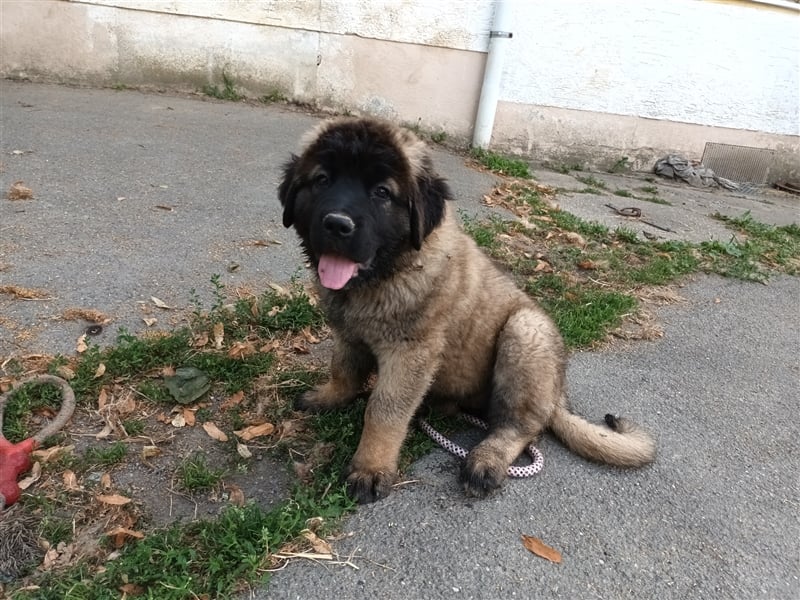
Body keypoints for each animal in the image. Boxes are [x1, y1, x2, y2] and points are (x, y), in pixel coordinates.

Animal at [278, 117, 652, 502]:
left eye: (382, 192)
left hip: (525, 332)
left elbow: (383, 410)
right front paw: (329, 396)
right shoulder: (349, 333)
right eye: (322, 179)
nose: (337, 224)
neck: (388, 273)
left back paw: (486, 459)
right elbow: (343, 369)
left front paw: (371, 468)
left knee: (521, 427)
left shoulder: (410, 353)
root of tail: (557, 398)